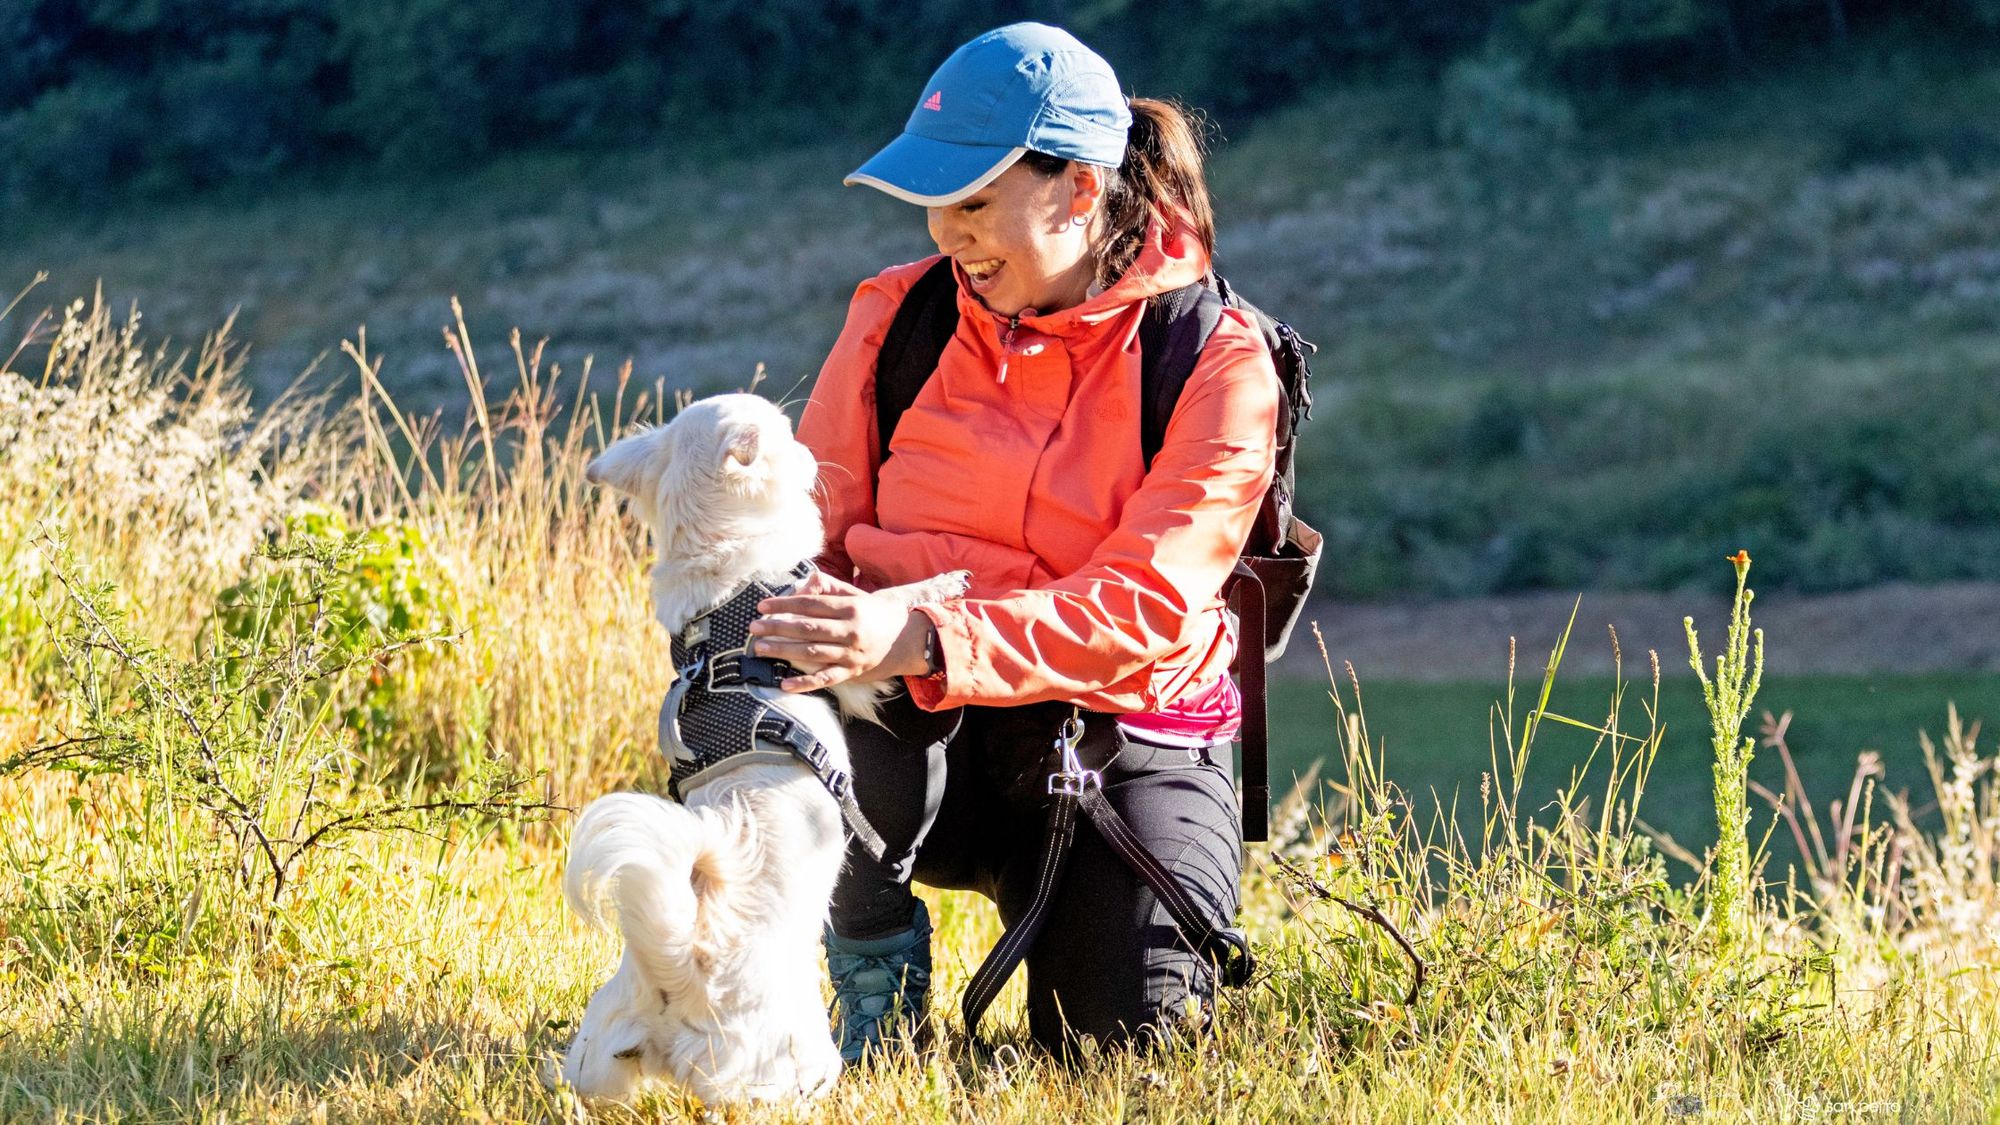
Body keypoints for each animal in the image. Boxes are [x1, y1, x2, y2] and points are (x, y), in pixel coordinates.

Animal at [560, 390, 964, 1096]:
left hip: (596, 1055)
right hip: (792, 1054)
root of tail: (679, 973)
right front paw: (944, 584)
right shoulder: (839, 652)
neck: (727, 582)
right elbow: (888, 604)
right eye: (786, 438)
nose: (810, 449)